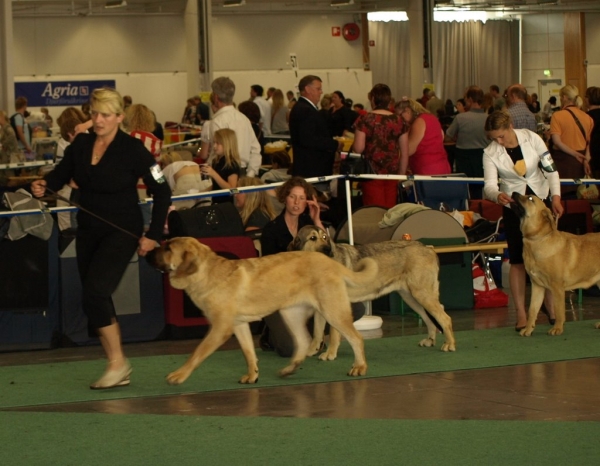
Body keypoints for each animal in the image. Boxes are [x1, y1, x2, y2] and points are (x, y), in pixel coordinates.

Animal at [146, 237, 380, 386]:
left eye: (168, 249)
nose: (148, 252)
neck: (207, 272)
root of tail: (330, 262)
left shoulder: (220, 328)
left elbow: (196, 353)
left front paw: (178, 375)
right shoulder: (239, 325)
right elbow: (249, 352)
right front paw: (252, 376)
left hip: (332, 310)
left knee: (356, 338)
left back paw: (359, 367)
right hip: (291, 313)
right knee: (304, 341)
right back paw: (289, 369)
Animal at [290, 226, 454, 356]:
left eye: (325, 237)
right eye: (312, 238)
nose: (328, 249)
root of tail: (428, 249)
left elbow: (334, 334)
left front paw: (330, 355)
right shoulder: (320, 308)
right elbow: (317, 333)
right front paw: (310, 353)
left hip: (422, 295)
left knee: (445, 318)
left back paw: (449, 345)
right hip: (411, 298)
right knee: (430, 320)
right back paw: (430, 341)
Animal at [510, 191, 600, 336]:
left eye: (530, 198)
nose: (514, 192)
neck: (537, 239)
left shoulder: (557, 286)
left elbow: (558, 310)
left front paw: (557, 328)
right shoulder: (537, 285)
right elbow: (532, 310)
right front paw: (528, 329)